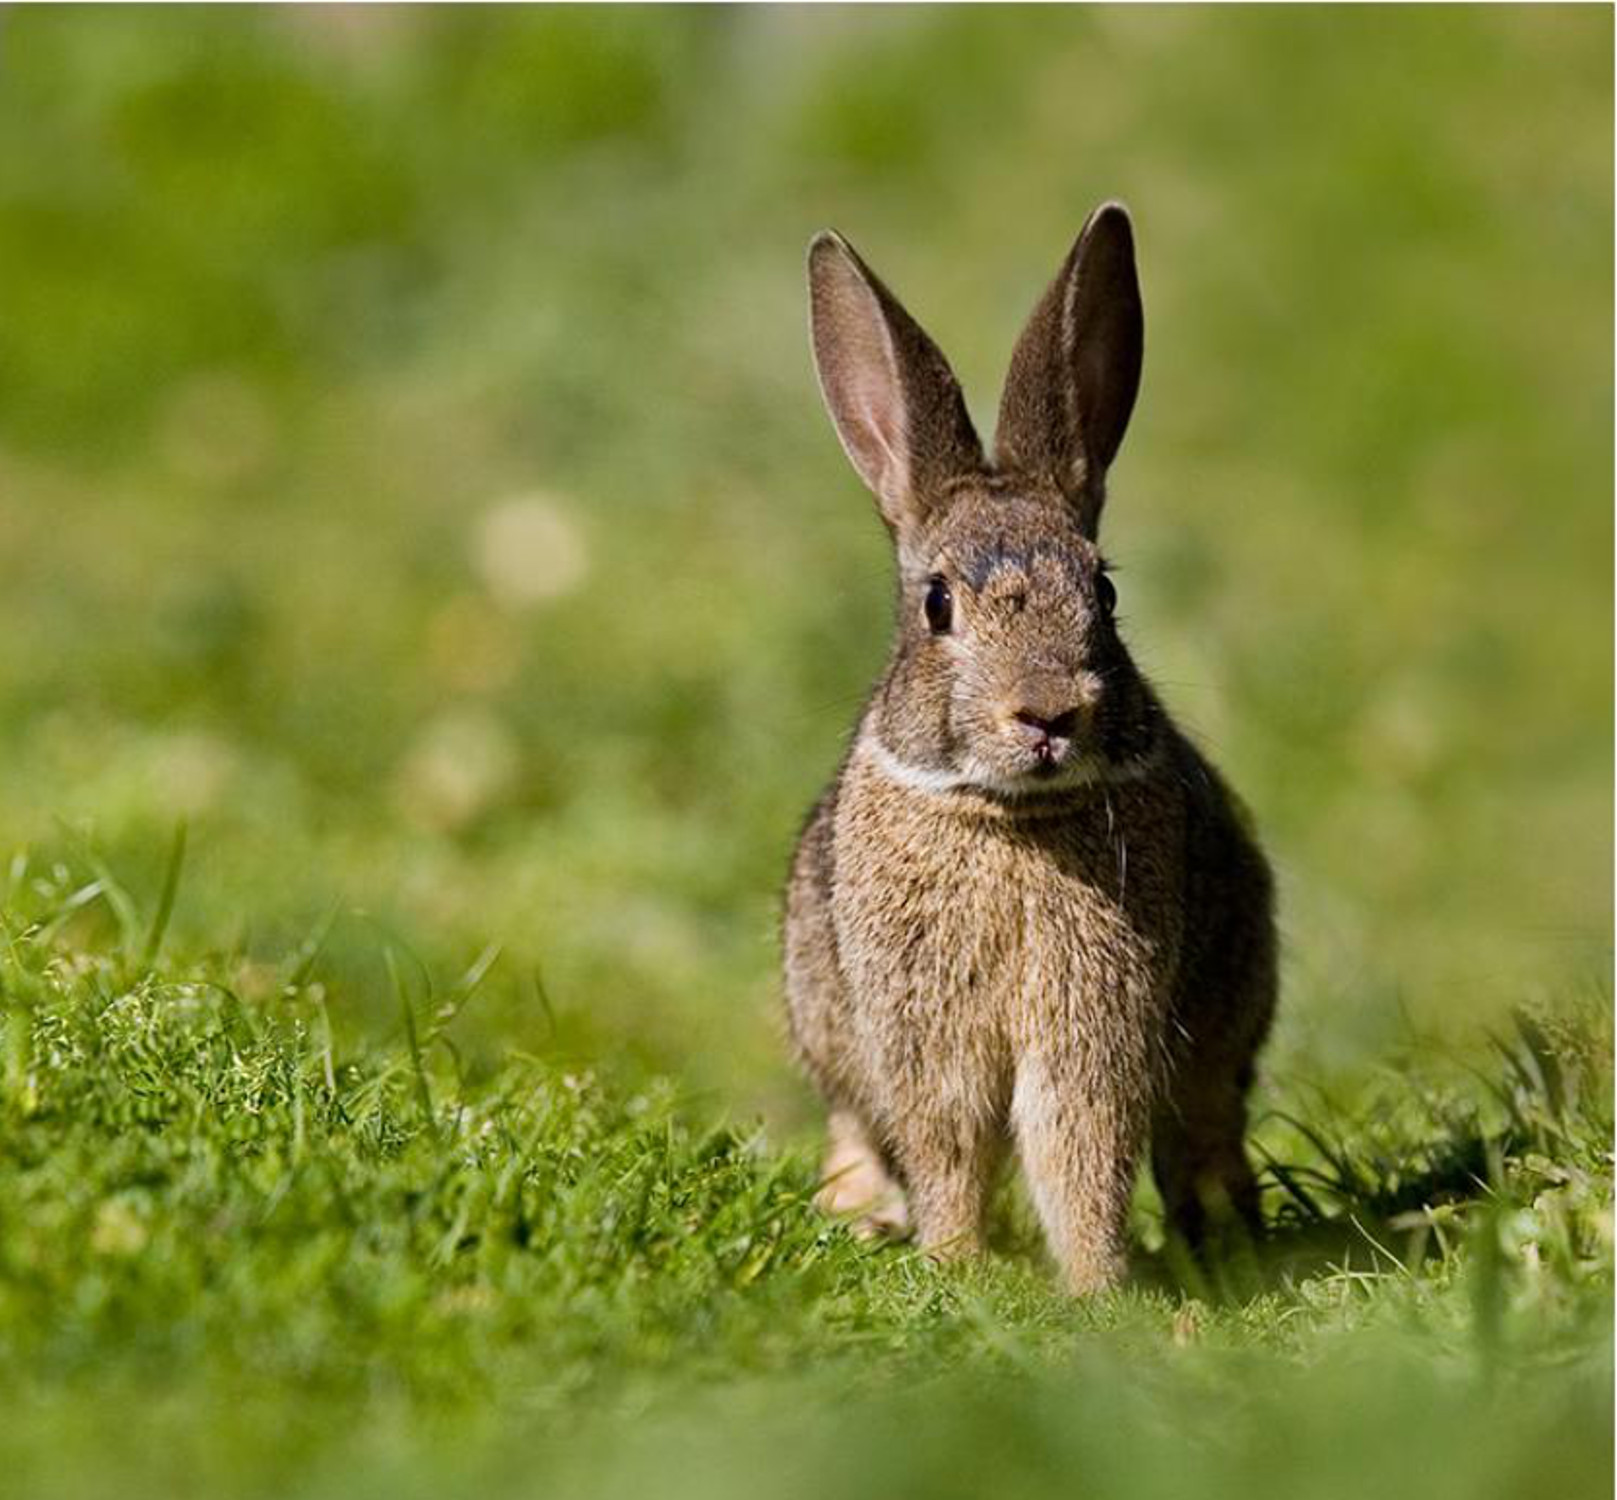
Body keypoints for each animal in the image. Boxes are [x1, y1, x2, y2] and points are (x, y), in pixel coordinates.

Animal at [782, 205, 1274, 1293]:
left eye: (1106, 591)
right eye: (937, 604)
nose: (1048, 714)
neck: (1010, 818)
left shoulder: (1096, 1026)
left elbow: (1080, 1145)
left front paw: (1095, 1288)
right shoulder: (921, 1037)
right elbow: (949, 1147)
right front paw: (955, 1265)